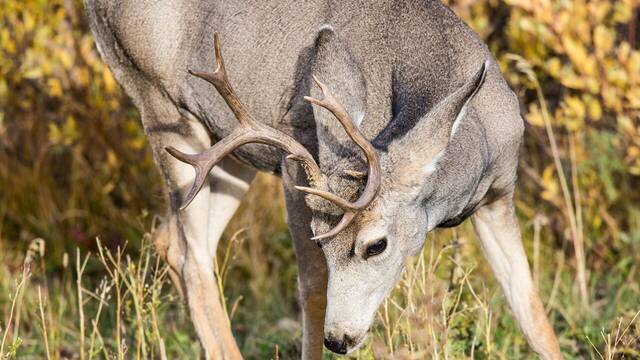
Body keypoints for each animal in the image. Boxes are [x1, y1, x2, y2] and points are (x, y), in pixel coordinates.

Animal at [84, 1, 560, 358]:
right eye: (322, 241)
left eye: (376, 245)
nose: (340, 339)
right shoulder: (297, 167)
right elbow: (312, 294)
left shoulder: (499, 196)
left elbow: (533, 313)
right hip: (164, 109)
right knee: (192, 255)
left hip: (230, 149)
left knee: (169, 238)